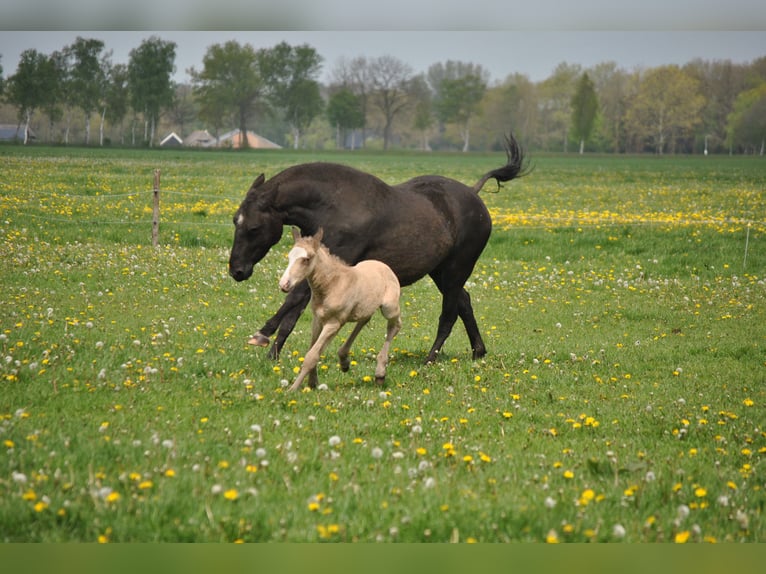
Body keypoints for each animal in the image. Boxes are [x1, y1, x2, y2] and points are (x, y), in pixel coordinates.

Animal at [229, 133, 528, 364]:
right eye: (235, 220)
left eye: (253, 227)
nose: (237, 271)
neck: (332, 206)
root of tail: (473, 195)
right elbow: (296, 308)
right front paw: (274, 354)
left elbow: (294, 298)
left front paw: (262, 335)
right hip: (441, 272)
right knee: (464, 303)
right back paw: (478, 351)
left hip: (457, 269)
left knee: (450, 313)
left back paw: (430, 358)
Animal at [278, 227, 402, 391]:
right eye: (290, 256)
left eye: (307, 259)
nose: (284, 284)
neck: (332, 285)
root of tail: (385, 266)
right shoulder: (318, 320)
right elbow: (314, 350)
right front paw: (312, 382)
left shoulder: (333, 323)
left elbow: (312, 356)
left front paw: (293, 389)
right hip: (364, 307)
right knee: (364, 319)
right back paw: (344, 360)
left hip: (389, 307)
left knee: (395, 325)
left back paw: (380, 373)